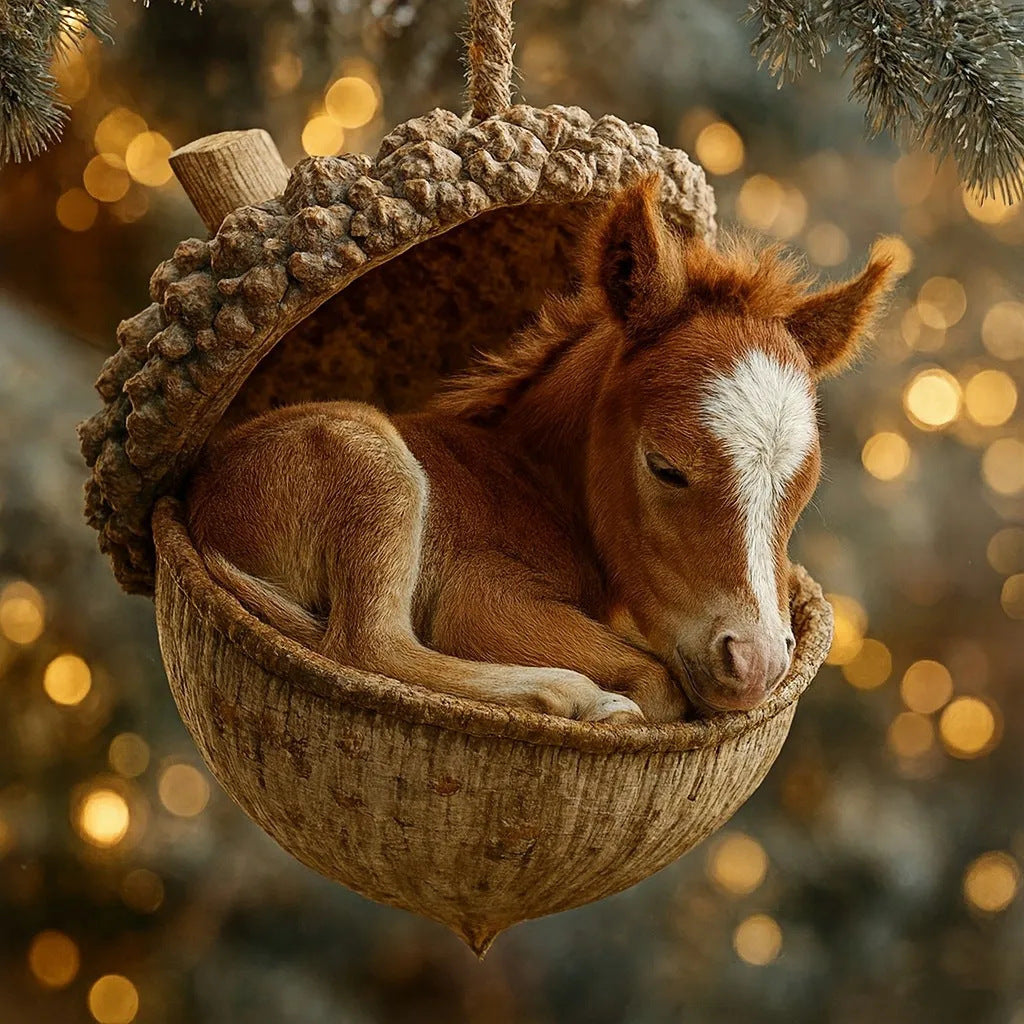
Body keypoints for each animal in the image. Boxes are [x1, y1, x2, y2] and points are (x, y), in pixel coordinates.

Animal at [186, 175, 896, 725]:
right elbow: (658, 683)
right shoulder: (483, 596)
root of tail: (202, 500)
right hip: (369, 460)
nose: (756, 664)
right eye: (665, 467)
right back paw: (576, 699)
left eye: (803, 489)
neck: (533, 484)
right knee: (368, 645)